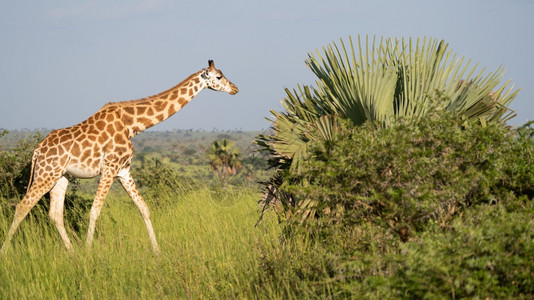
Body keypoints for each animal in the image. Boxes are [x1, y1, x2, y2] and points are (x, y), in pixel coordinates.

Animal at [0, 59, 239, 254]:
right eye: (219, 76)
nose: (235, 88)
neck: (132, 124)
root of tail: (37, 150)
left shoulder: (124, 170)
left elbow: (144, 208)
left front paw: (157, 251)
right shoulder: (110, 167)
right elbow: (95, 210)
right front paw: (89, 252)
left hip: (60, 176)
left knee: (55, 214)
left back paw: (72, 253)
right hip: (46, 173)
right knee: (22, 206)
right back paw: (6, 252)